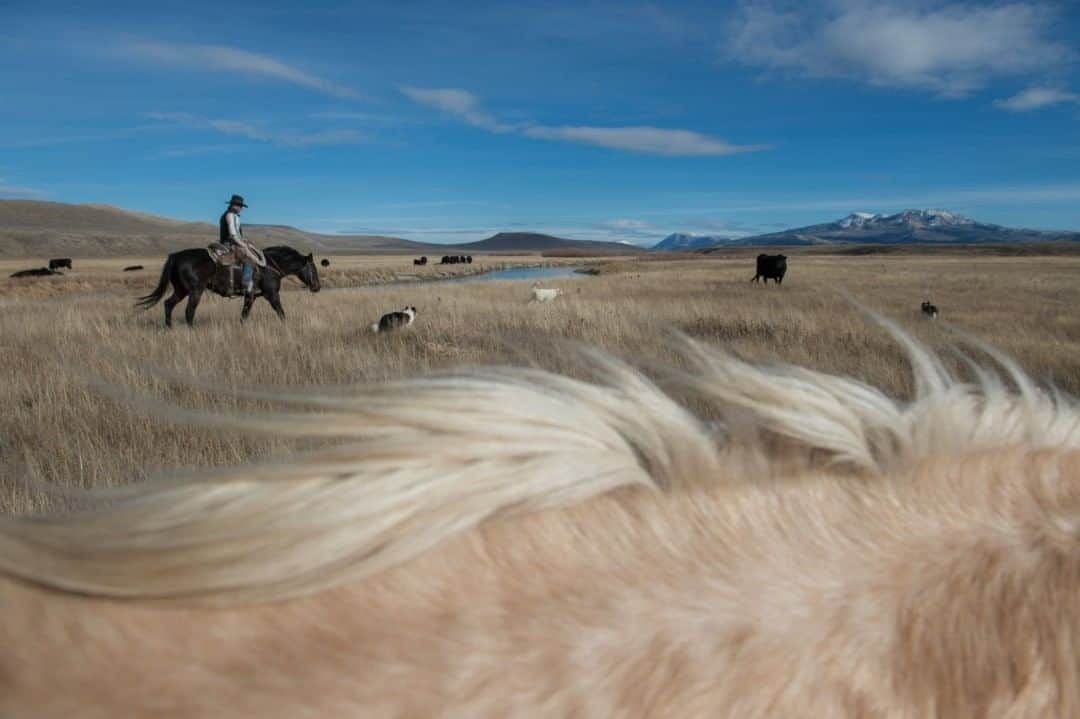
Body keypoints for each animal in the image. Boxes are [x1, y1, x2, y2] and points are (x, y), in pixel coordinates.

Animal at [137, 245, 319, 326]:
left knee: (168, 304)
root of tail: (176, 256)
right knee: (189, 311)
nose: (317, 287)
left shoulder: (251, 296)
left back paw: (169, 327)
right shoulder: (272, 295)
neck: (269, 266)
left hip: (181, 290)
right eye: (313, 268)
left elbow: (244, 315)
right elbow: (281, 312)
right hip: (195, 291)